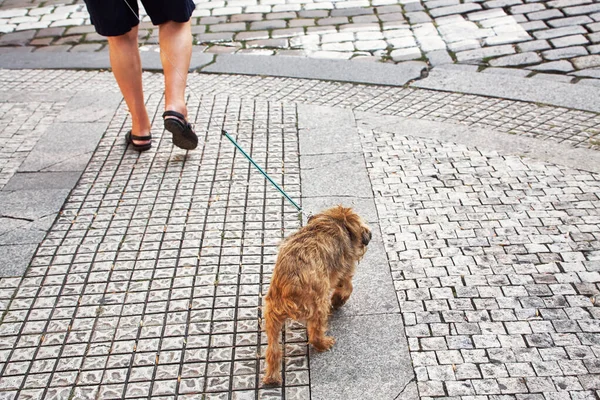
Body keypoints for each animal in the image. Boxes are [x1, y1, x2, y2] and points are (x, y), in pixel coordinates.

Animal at [262, 206, 370, 384]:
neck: (336, 220)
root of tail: (290, 284)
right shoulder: (344, 271)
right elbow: (347, 286)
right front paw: (339, 300)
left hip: (271, 314)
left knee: (273, 350)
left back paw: (272, 376)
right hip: (318, 304)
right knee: (314, 334)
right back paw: (324, 343)